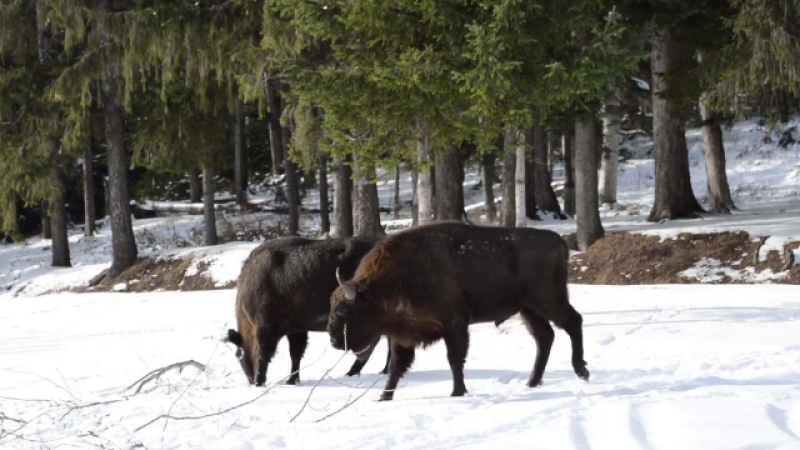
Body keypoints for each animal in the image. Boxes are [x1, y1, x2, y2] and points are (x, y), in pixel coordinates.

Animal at [223, 236, 390, 386]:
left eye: (239, 354)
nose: (251, 381)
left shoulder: (265, 328)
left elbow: (264, 354)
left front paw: (261, 381)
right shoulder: (296, 330)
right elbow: (295, 354)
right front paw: (292, 380)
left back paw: (354, 372)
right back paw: (381, 370)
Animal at [328, 221, 592, 400]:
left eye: (342, 312)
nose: (333, 340)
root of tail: (558, 240)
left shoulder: (454, 326)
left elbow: (454, 359)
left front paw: (457, 392)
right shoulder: (403, 336)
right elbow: (396, 367)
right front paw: (384, 397)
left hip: (547, 300)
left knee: (573, 322)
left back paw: (581, 371)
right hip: (528, 309)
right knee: (545, 337)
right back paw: (532, 382)